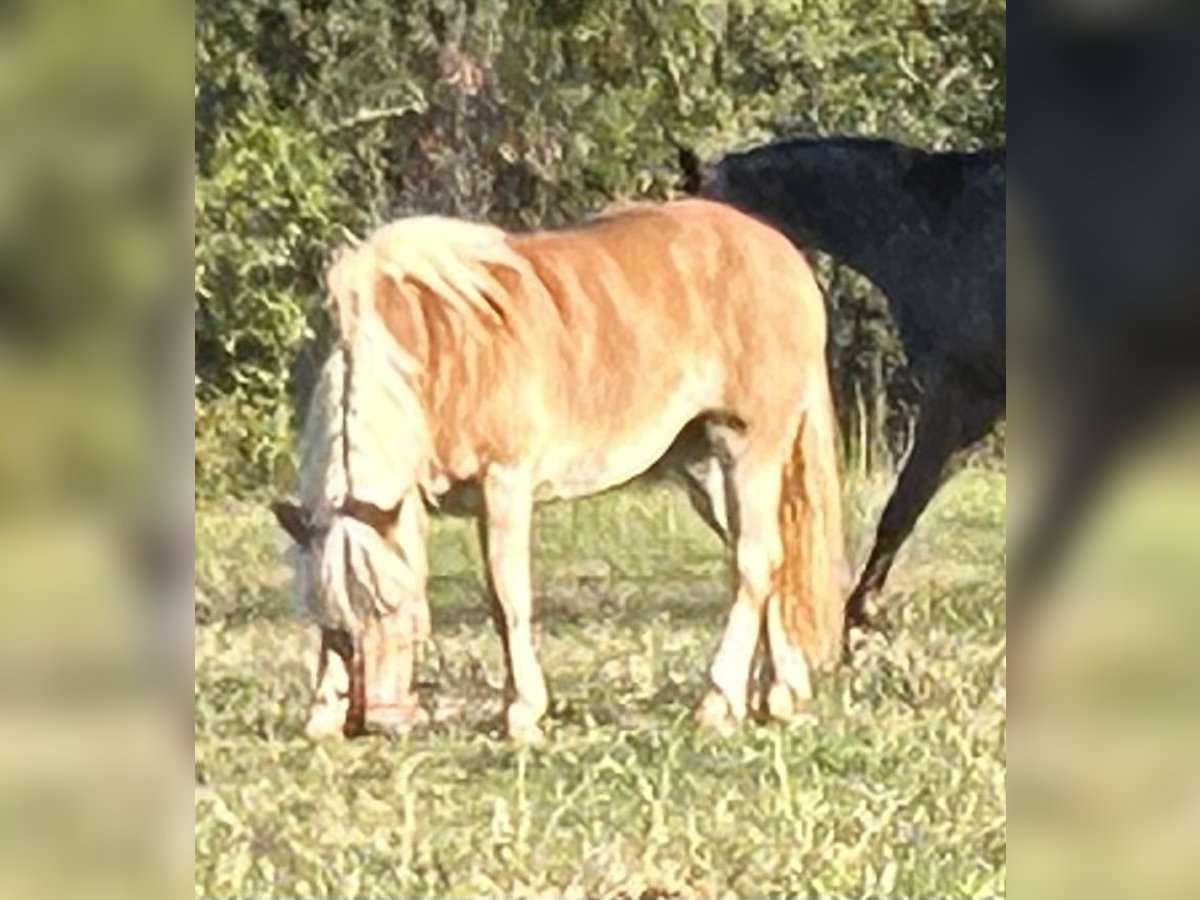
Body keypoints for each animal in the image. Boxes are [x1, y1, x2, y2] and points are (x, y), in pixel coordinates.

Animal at [276, 200, 849, 744]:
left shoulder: (504, 482)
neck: (438, 349)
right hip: (705, 468)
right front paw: (322, 715)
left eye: (396, 607)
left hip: (750, 448)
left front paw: (522, 714)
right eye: (334, 623)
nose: (378, 720)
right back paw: (777, 694)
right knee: (766, 560)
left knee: (753, 563)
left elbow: (507, 596)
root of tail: (783, 254)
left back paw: (718, 701)